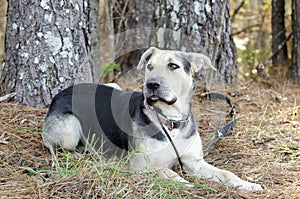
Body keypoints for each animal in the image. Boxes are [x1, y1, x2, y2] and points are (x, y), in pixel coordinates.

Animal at [42, 47, 262, 191]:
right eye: (149, 66)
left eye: (173, 65)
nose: (152, 85)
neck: (170, 120)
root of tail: (60, 93)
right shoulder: (141, 164)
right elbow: (167, 172)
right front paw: (187, 184)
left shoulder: (194, 162)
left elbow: (226, 174)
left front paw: (247, 184)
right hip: (70, 128)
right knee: (57, 147)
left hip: (114, 86)